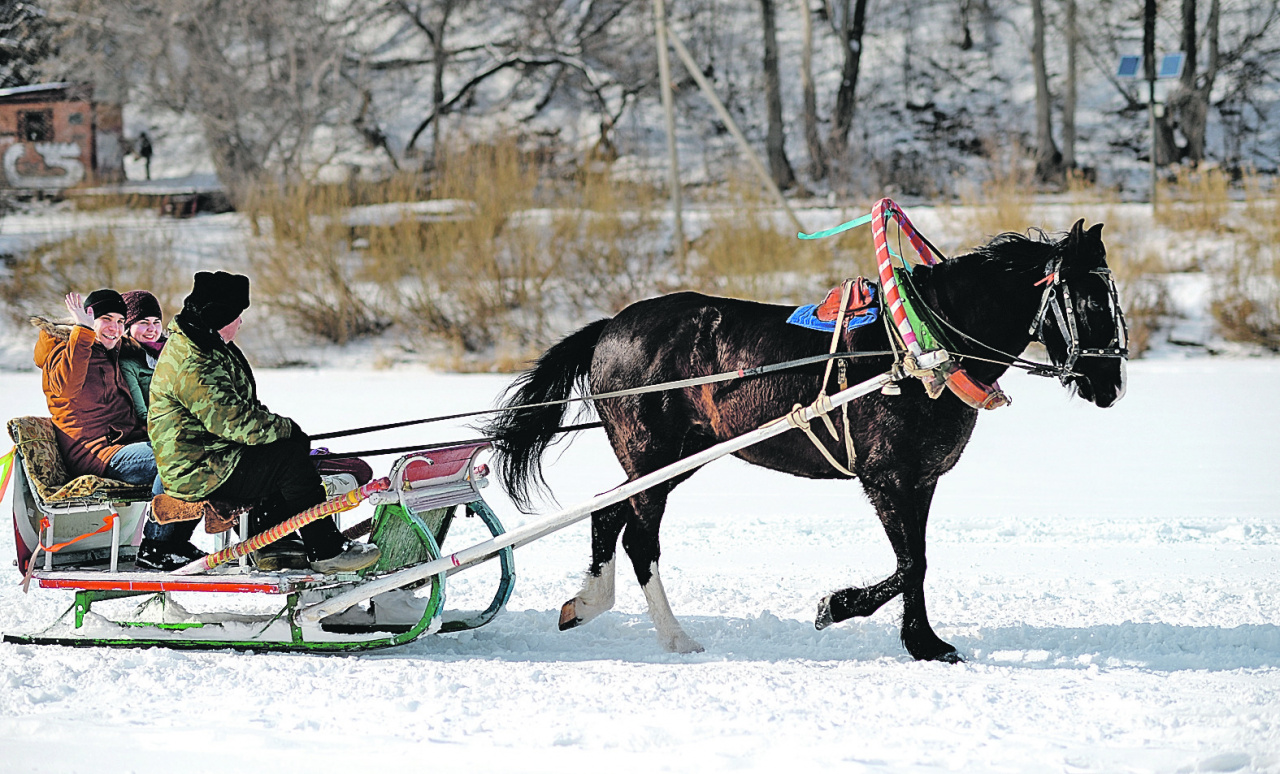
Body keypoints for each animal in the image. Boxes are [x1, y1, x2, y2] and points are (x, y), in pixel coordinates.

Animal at [483, 220, 1126, 660]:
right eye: (1091, 299)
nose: (1112, 383)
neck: (918, 350)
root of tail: (610, 327)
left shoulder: (921, 480)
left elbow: (917, 563)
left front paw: (924, 642)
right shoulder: (886, 477)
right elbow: (910, 562)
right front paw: (838, 607)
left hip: (674, 458)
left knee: (607, 512)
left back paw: (586, 604)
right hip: (653, 455)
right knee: (640, 537)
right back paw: (675, 637)